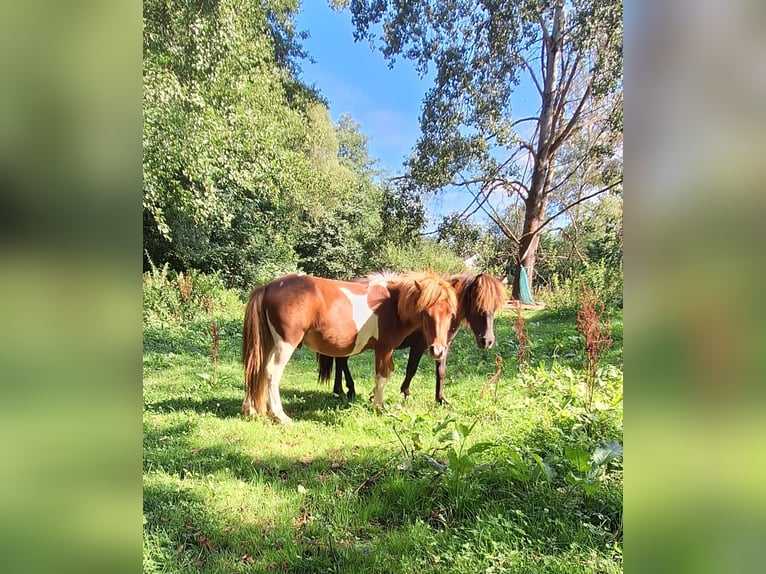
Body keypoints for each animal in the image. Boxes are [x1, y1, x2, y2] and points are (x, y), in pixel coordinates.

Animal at [242, 272, 456, 426]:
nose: (438, 351)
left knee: (257, 370)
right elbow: (382, 375)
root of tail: (267, 287)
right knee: (272, 372)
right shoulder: (384, 348)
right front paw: (378, 407)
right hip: (285, 344)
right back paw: (279, 416)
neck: (392, 304)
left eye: (450, 314)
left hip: (269, 343)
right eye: (425, 313)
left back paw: (252, 410)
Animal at [320, 274, 510, 404]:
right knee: (342, 362)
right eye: (478, 307)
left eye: (495, 307)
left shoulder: (443, 346)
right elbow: (411, 369)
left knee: (340, 361)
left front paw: (441, 399)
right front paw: (404, 392)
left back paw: (340, 390)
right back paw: (348, 390)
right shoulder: (419, 346)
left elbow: (441, 371)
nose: (487, 341)